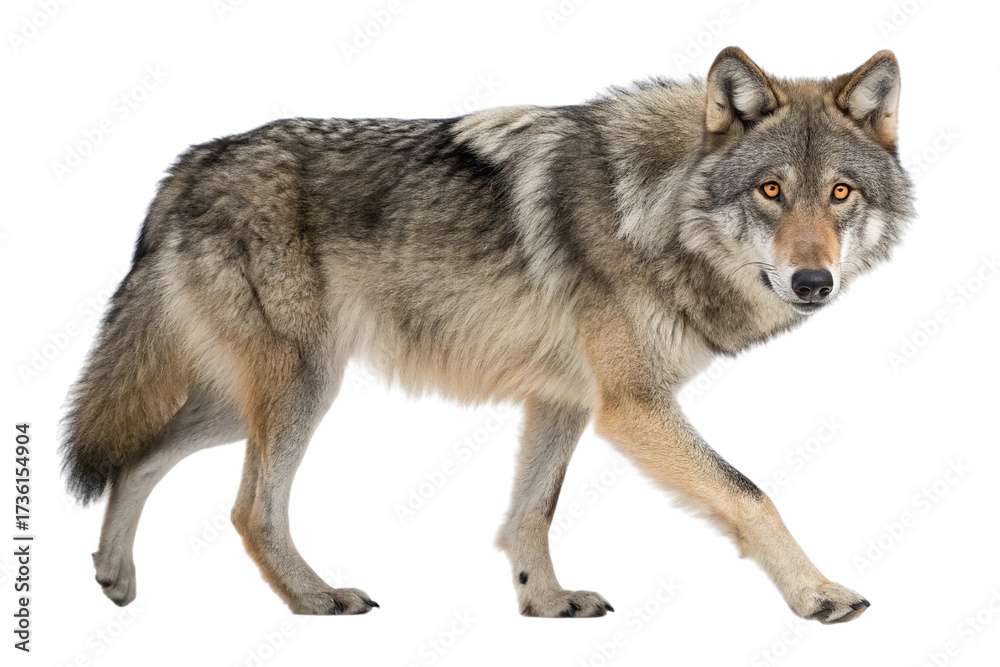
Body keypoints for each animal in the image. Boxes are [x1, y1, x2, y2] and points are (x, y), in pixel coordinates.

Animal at [62, 47, 913, 622]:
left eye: (840, 193)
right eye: (771, 191)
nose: (813, 282)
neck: (656, 210)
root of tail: (189, 163)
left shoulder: (566, 400)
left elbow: (530, 512)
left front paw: (546, 601)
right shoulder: (632, 405)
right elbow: (751, 493)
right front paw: (818, 593)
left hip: (242, 402)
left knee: (136, 457)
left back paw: (114, 575)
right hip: (300, 390)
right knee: (249, 508)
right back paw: (316, 597)